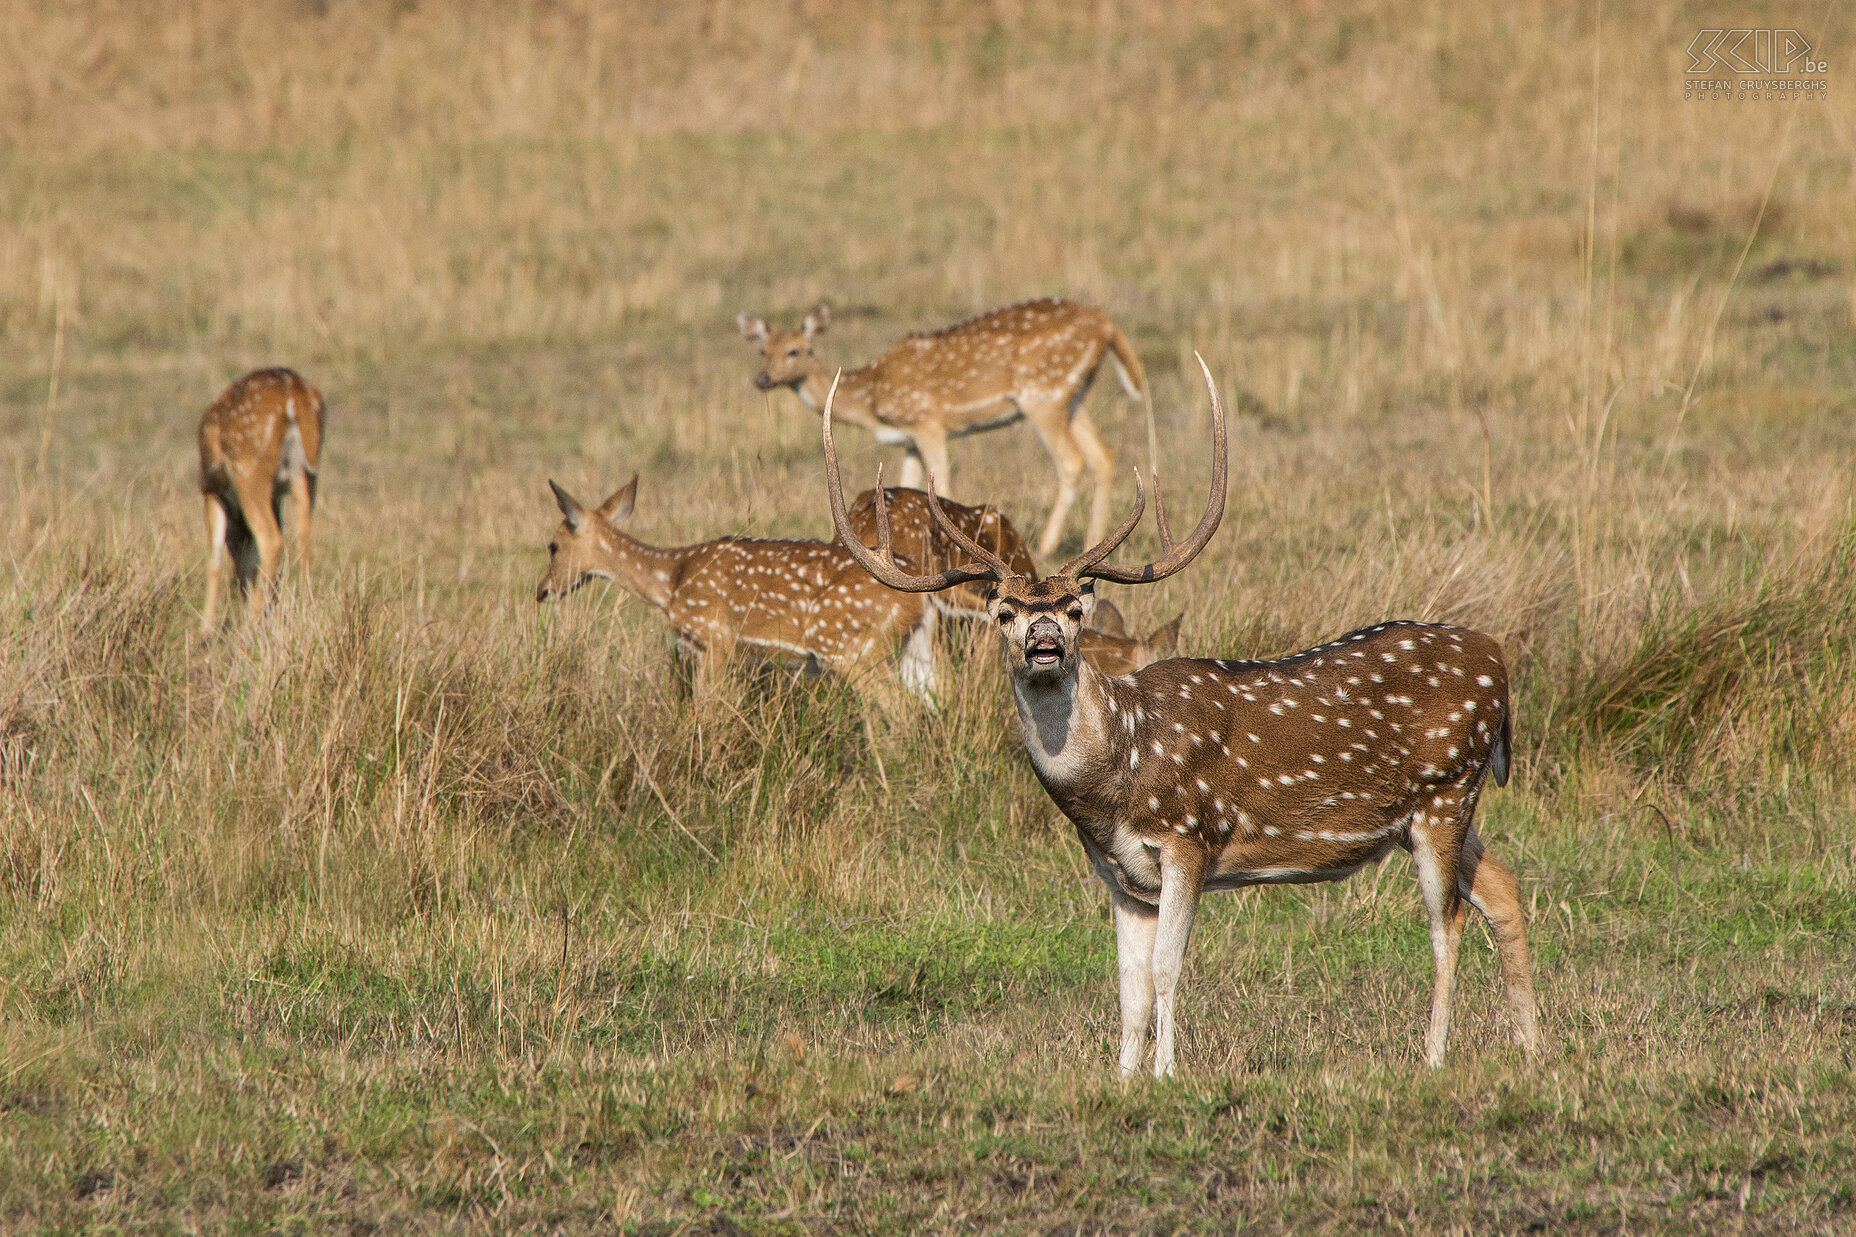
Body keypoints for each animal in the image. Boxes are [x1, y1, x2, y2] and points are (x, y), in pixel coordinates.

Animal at [538, 475, 942, 698]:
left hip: (855, 650)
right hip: (912, 649)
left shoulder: (715, 639)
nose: (542, 590)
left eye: (553, 546)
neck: (669, 582)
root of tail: (921, 599)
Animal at [738, 299, 1143, 553]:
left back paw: (1046, 546)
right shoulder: (909, 440)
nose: (760, 379)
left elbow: (943, 484)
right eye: (762, 350)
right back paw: (1095, 542)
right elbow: (905, 484)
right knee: (1104, 455)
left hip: (1042, 394)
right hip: (1073, 395)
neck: (872, 397)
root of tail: (1107, 324)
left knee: (1073, 460)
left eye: (796, 350)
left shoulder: (928, 421)